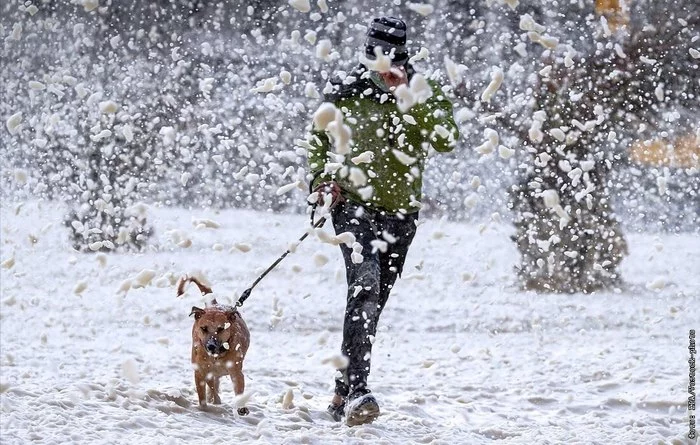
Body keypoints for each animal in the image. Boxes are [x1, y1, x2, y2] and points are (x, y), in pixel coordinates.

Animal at [176, 274, 250, 412]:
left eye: (221, 328)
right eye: (204, 328)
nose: (211, 345)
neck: (217, 356)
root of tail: (214, 304)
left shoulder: (236, 371)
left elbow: (239, 387)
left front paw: (241, 407)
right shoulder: (200, 371)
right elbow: (202, 393)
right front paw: (204, 408)